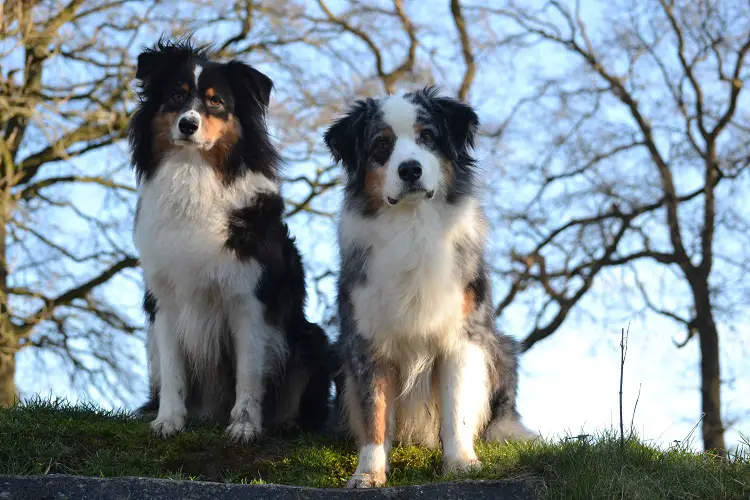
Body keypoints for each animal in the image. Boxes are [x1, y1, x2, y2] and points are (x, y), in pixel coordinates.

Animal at [131, 39, 330, 442]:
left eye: (216, 101)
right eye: (176, 95)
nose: (187, 124)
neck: (193, 173)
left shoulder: (249, 298)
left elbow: (248, 374)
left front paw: (244, 427)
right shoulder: (164, 299)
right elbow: (173, 370)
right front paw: (168, 421)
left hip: (312, 339)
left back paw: (284, 423)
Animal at [326, 88, 532, 486]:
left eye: (428, 137)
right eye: (381, 145)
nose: (410, 169)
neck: (412, 226)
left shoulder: (462, 336)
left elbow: (456, 408)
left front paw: (461, 463)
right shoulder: (366, 343)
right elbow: (375, 413)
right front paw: (369, 473)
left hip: (502, 348)